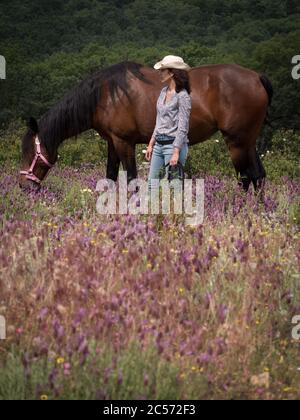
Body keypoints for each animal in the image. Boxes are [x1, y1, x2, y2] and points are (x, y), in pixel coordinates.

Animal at [18, 60, 272, 191]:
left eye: (31, 151)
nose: (23, 187)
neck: (104, 95)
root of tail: (256, 77)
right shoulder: (113, 144)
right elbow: (110, 178)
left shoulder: (124, 143)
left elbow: (131, 181)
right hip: (248, 141)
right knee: (258, 176)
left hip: (237, 142)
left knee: (246, 178)